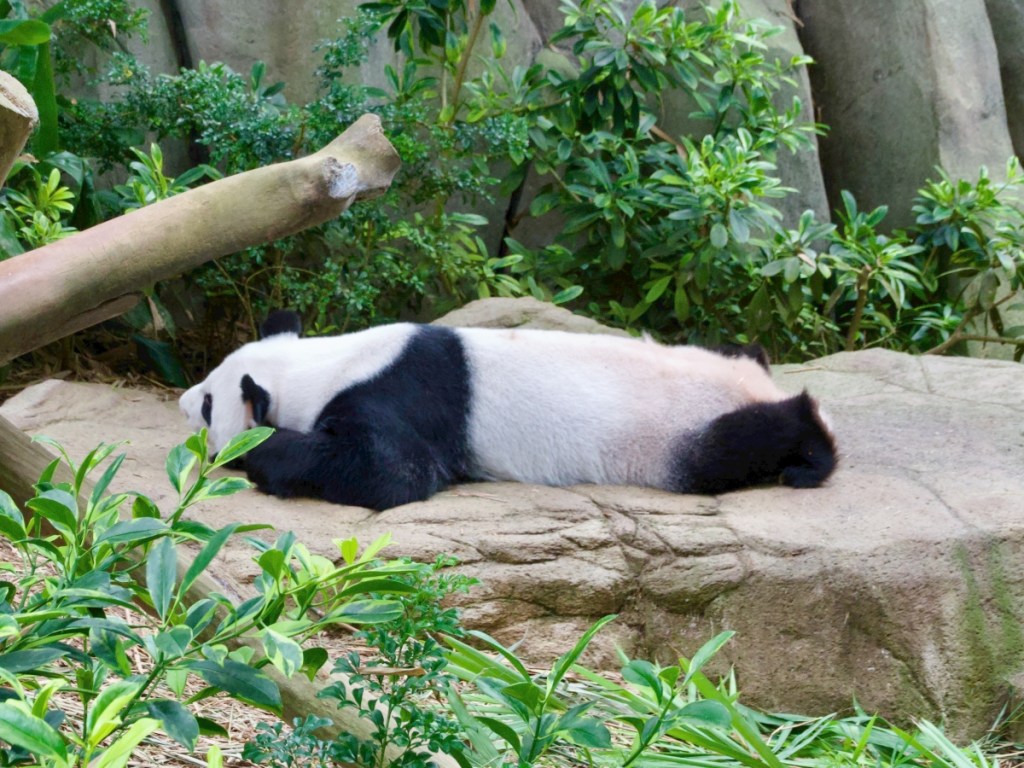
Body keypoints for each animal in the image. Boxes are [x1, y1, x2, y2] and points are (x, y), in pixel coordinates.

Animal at [179, 310, 837, 511]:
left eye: (210, 403)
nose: (184, 404)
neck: (322, 364)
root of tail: (751, 384)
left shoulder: (400, 397)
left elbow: (392, 473)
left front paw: (259, 455)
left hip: (679, 434)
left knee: (737, 445)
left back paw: (809, 453)